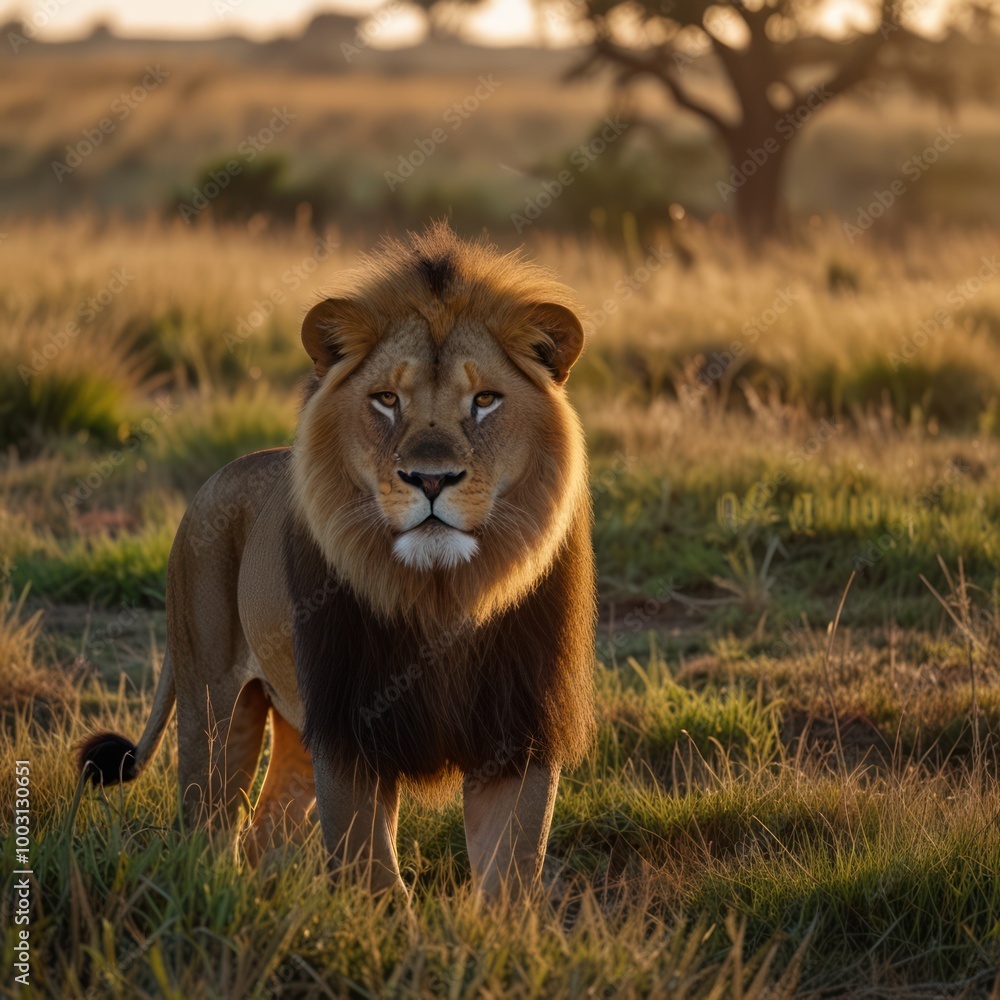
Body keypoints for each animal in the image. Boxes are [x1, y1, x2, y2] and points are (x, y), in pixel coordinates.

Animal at [77, 223, 596, 899]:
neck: (443, 593)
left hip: (294, 723)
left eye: (485, 399)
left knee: (266, 826)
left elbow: (509, 876)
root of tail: (217, 479)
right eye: (386, 399)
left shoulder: (518, 733)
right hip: (212, 698)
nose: (431, 479)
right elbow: (373, 873)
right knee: (209, 827)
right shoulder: (349, 730)